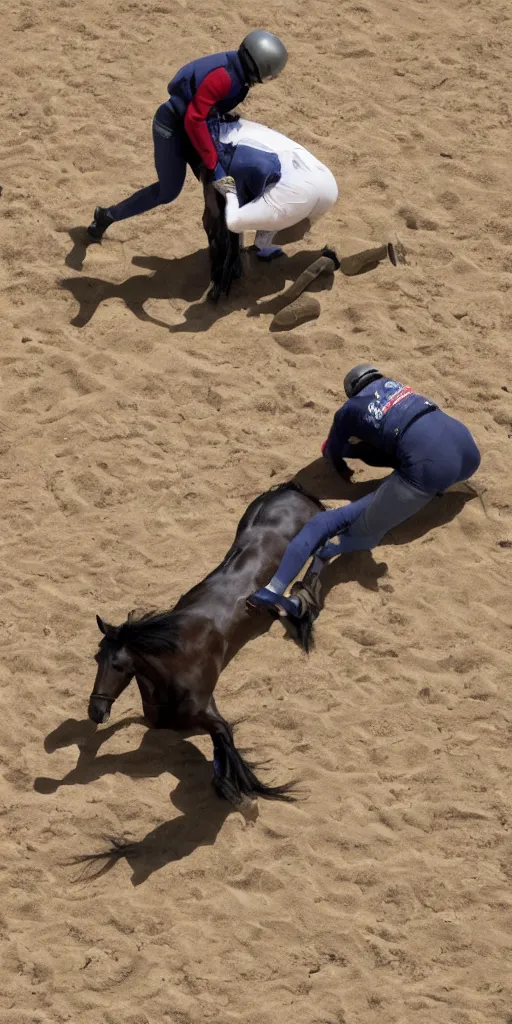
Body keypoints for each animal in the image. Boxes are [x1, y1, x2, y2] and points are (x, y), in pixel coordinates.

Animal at [88, 481, 325, 809]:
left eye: (119, 665)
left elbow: (224, 742)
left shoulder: (209, 710)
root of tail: (293, 489)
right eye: (96, 658)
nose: (95, 711)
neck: (177, 662)